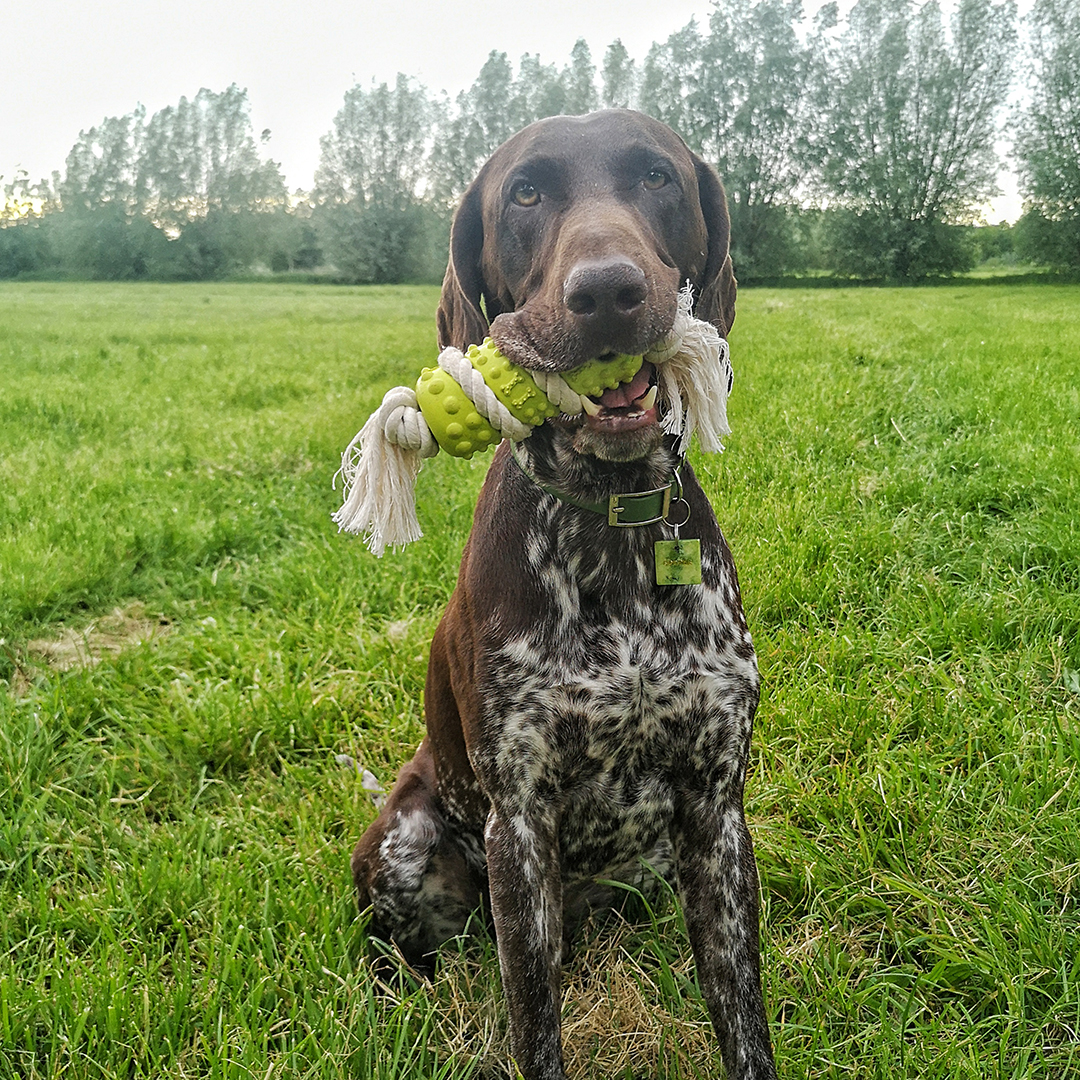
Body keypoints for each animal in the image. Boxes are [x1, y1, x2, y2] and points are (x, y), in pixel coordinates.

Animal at [352, 109, 777, 1080]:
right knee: (402, 957)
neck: (609, 524)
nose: (609, 291)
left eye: (658, 177)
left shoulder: (716, 812)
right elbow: (534, 1027)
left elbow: (743, 1020)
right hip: (406, 843)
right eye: (526, 194)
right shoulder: (519, 820)